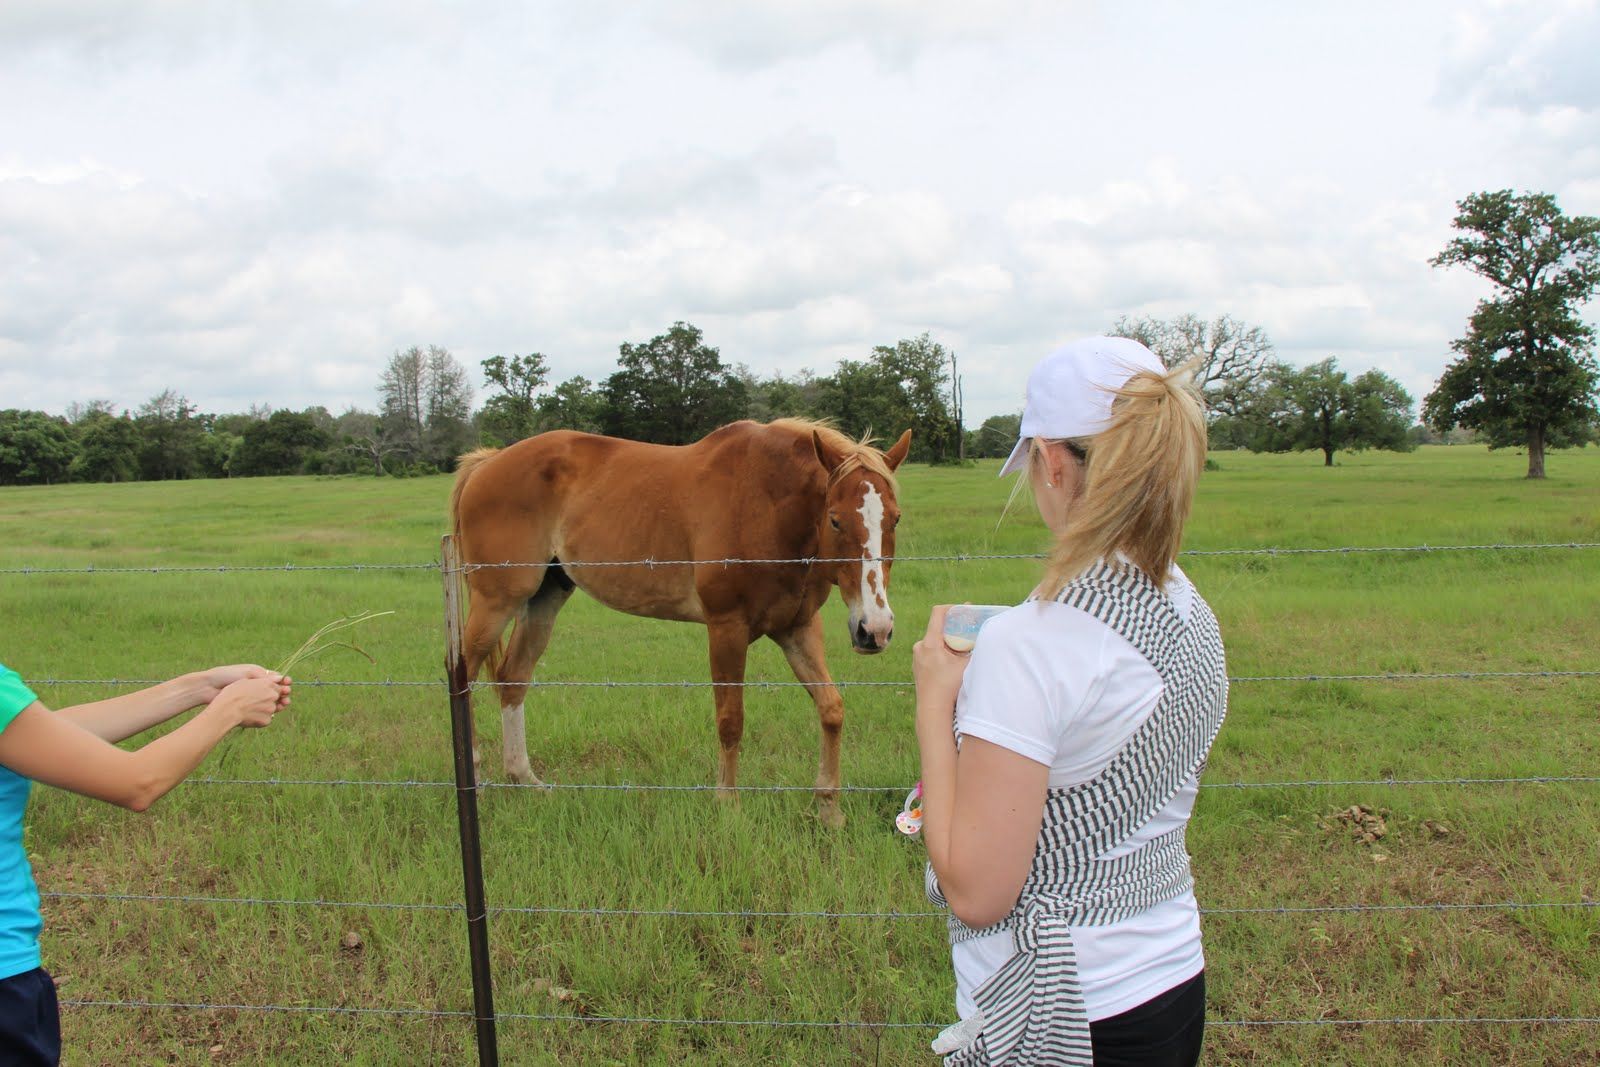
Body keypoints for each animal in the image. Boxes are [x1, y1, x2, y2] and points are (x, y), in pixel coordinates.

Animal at [449, 418, 913, 827]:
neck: (764, 501)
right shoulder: (727, 628)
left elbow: (831, 708)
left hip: (544, 598)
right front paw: (728, 807)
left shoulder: (796, 628)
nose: (875, 629)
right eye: (835, 518)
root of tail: (488, 463)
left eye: (895, 518)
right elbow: (730, 719)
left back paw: (524, 779)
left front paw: (829, 809)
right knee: (463, 676)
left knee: (513, 677)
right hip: (496, 602)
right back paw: (474, 779)